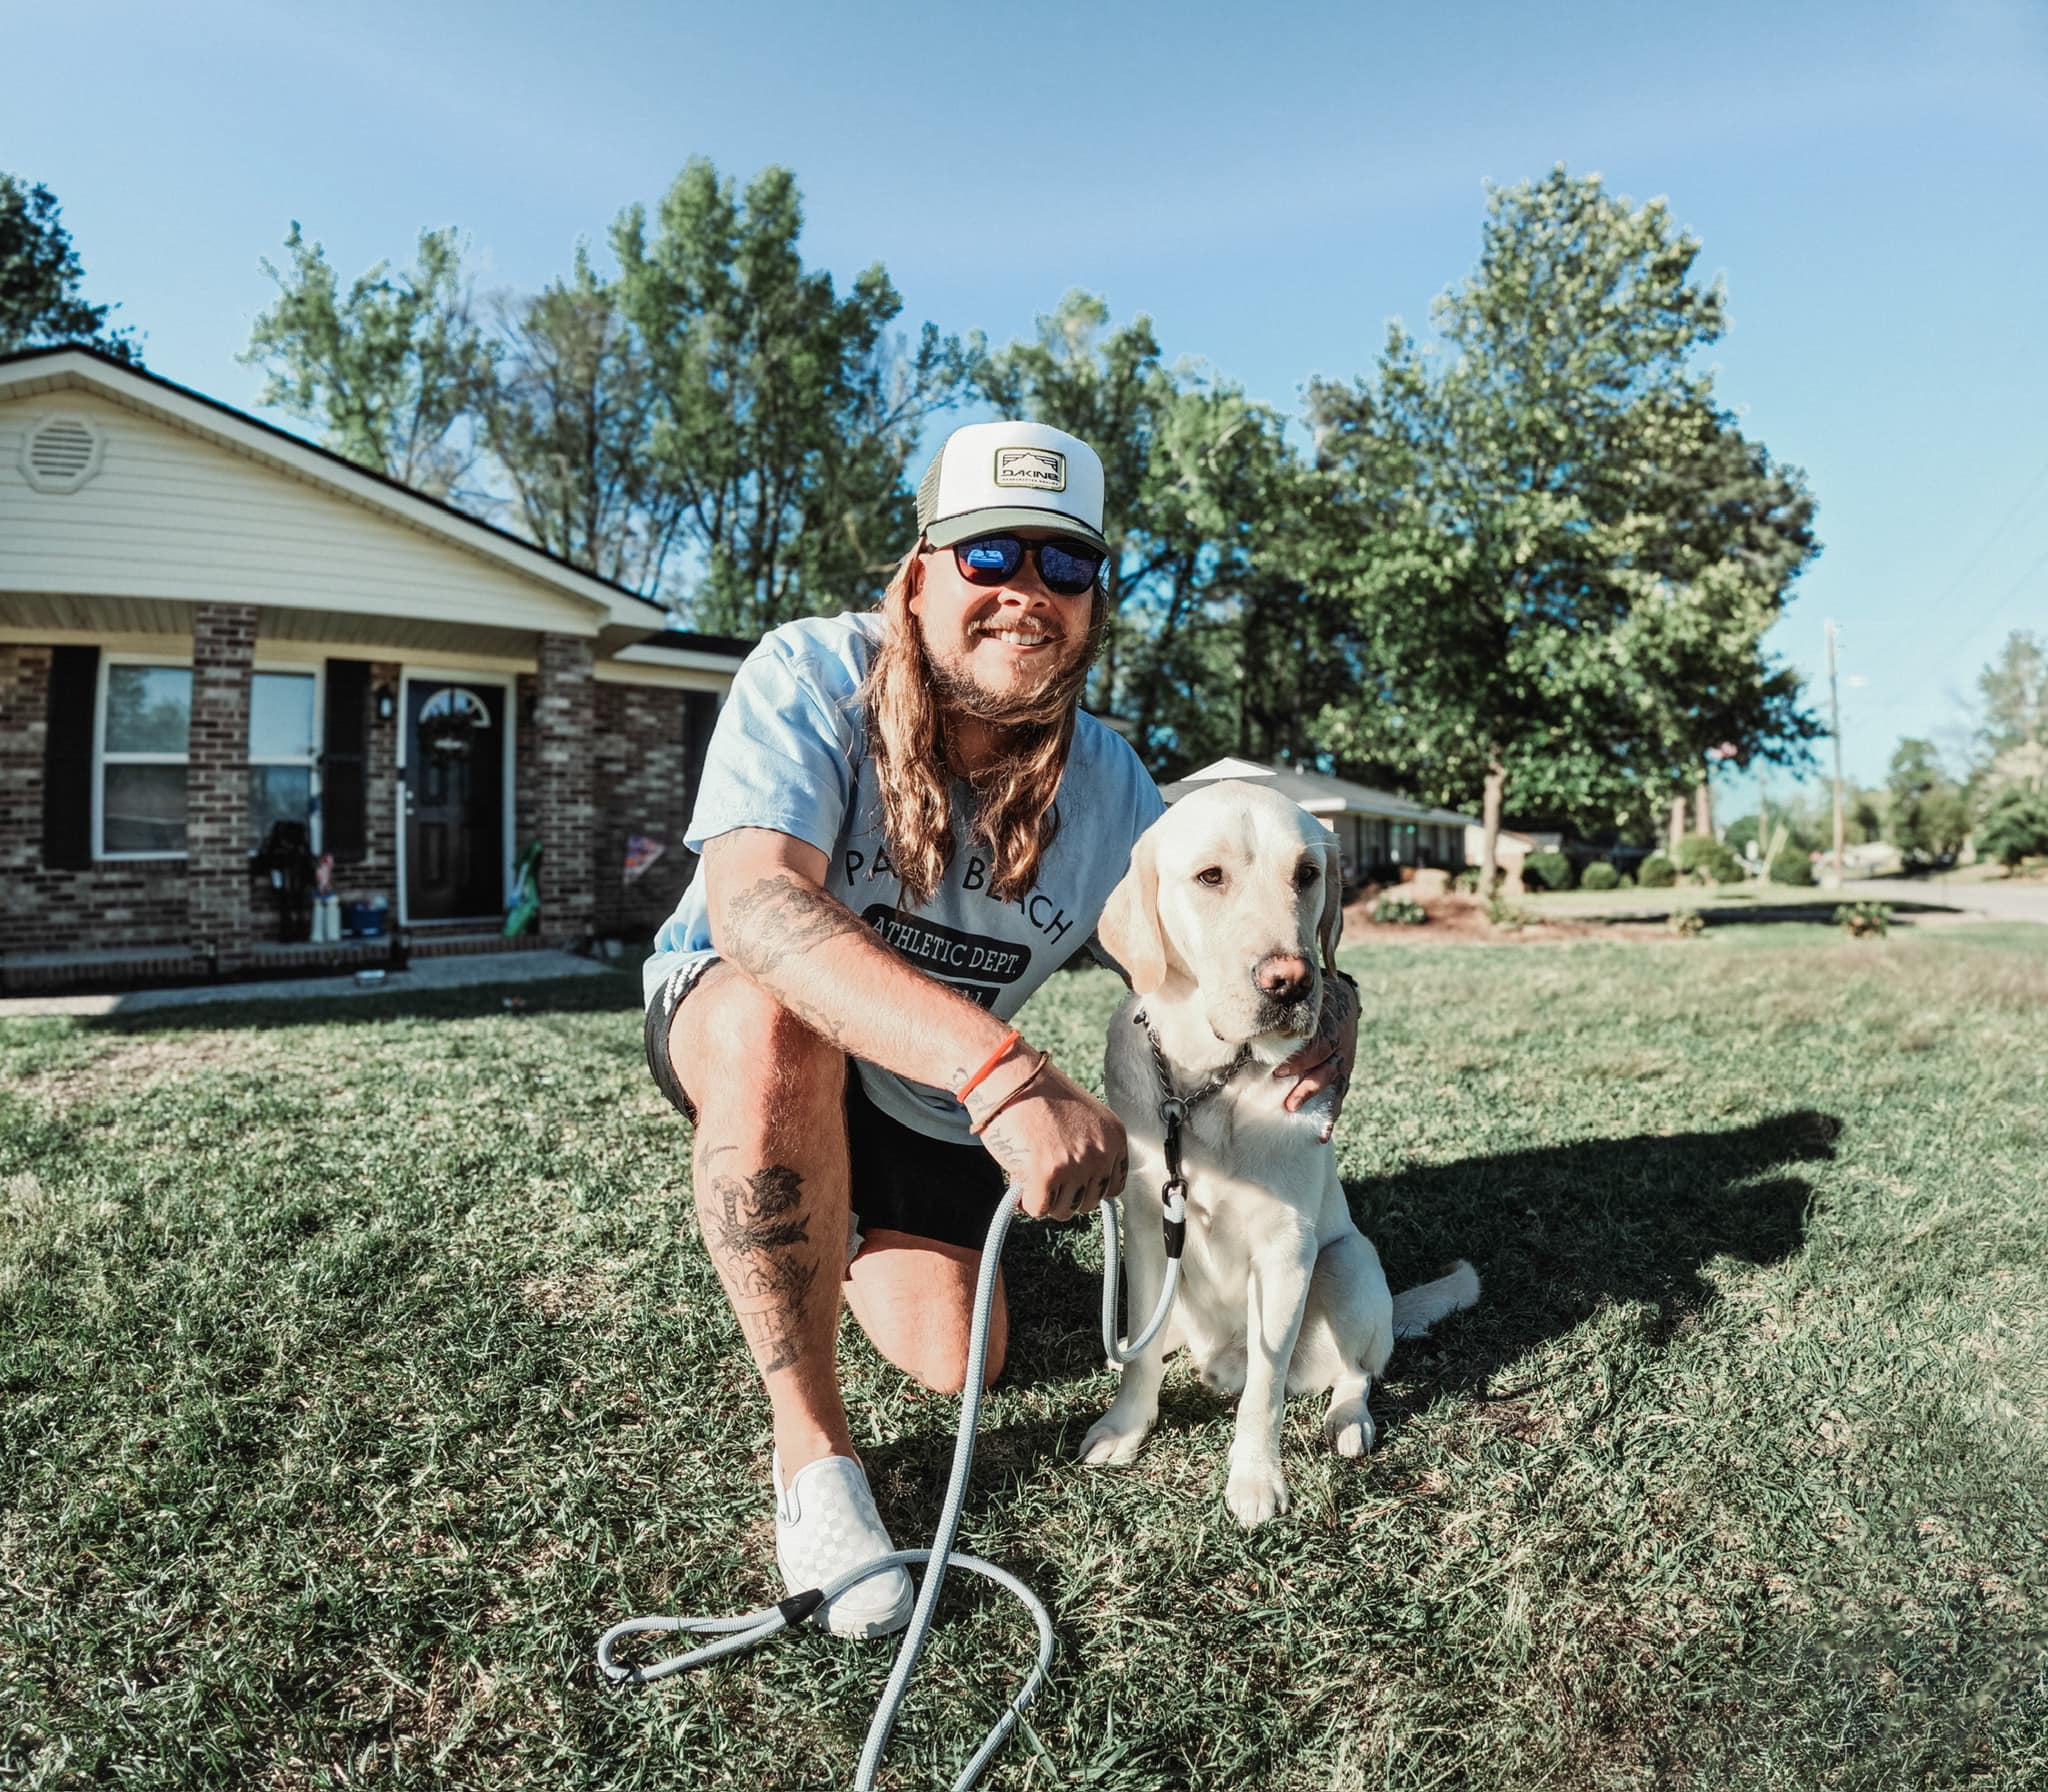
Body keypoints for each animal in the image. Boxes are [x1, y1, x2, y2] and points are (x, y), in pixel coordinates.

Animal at [1089, 786, 1474, 1523]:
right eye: (1210, 877)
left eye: (1307, 874)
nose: (1291, 982)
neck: (1209, 1083)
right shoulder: (1150, 1228)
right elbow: (1142, 1349)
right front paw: (1126, 1428)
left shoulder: (1285, 1249)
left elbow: (1265, 1391)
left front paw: (1255, 1478)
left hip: (1350, 1263)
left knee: (1355, 1373)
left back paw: (1347, 1421)